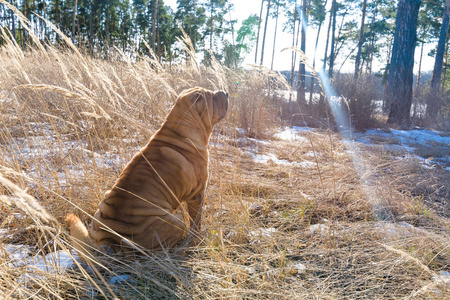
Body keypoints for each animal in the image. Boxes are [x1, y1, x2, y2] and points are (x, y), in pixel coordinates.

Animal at [67, 86, 229, 258]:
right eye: (212, 97)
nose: (225, 92)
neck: (181, 130)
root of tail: (111, 240)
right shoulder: (196, 195)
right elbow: (196, 221)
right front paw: (199, 239)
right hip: (175, 220)